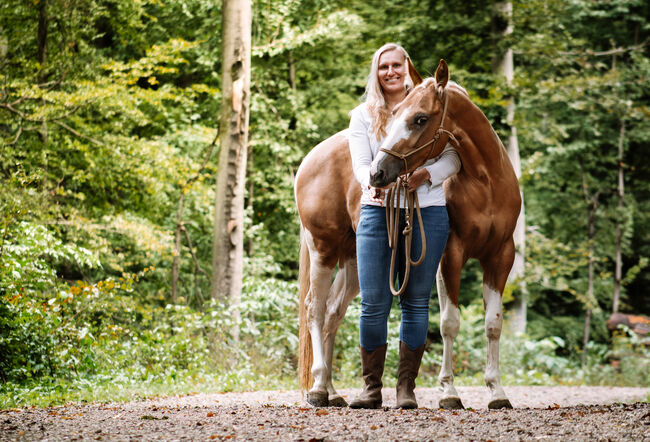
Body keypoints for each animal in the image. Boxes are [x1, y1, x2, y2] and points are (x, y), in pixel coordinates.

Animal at [294, 59, 521, 410]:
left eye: (420, 118)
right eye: (397, 113)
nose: (377, 172)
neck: (486, 183)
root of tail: (309, 161)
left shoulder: (500, 256)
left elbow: (493, 324)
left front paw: (497, 392)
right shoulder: (450, 255)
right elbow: (449, 323)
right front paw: (449, 392)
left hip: (354, 262)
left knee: (332, 311)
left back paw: (332, 390)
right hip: (323, 249)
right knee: (314, 308)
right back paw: (319, 388)